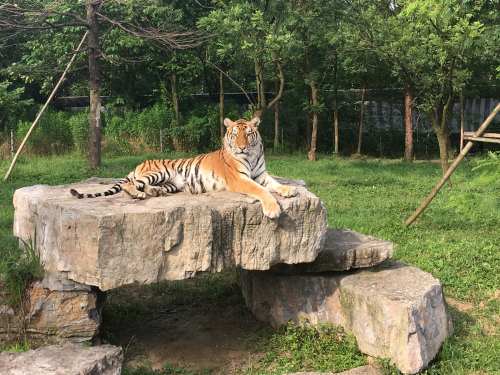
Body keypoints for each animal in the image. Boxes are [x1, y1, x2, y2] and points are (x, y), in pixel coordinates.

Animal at [70, 113, 296, 219]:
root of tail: (140, 163)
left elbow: (274, 184)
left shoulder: (261, 174)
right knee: (130, 184)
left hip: (173, 183)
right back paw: (139, 194)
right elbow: (261, 191)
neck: (251, 156)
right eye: (234, 135)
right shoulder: (240, 179)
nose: (241, 147)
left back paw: (155, 193)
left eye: (248, 134)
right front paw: (273, 210)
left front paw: (290, 190)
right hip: (158, 172)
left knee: (148, 186)